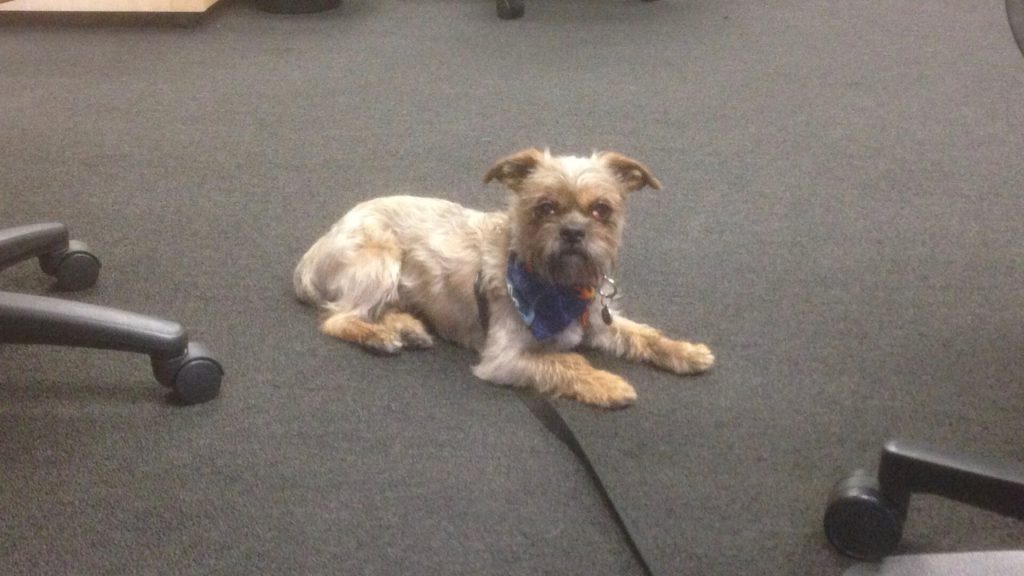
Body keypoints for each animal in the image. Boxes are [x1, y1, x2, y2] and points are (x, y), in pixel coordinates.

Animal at [294, 148, 712, 407]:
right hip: (380, 261)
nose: (573, 232)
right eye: (545, 208)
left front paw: (684, 351)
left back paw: (406, 327)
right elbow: (566, 363)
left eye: (600, 210)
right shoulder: (504, 358)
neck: (557, 285)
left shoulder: (596, 321)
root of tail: (314, 253)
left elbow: (643, 335)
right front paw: (607, 383)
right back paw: (378, 335)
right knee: (341, 318)